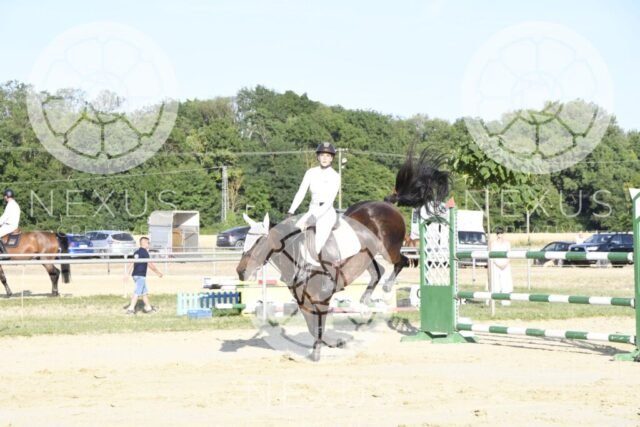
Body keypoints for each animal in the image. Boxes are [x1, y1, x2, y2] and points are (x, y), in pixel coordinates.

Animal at [236, 148, 449, 360]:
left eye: (258, 242)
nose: (240, 271)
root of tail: (387, 205)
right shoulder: (304, 299)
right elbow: (313, 326)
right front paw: (332, 343)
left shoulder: (322, 295)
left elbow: (318, 325)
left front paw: (318, 351)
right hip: (365, 257)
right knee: (378, 271)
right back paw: (365, 303)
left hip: (389, 250)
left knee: (401, 262)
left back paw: (386, 289)